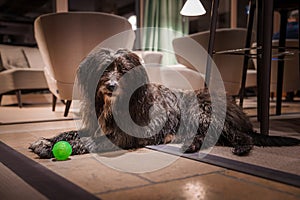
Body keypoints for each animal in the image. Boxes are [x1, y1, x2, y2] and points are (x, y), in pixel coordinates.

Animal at [28, 47, 300, 159]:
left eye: (124, 70)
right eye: (105, 69)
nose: (111, 86)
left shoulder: (124, 137)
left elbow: (87, 141)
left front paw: (52, 148)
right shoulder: (97, 127)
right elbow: (69, 132)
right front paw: (46, 141)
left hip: (201, 113)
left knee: (241, 137)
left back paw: (239, 148)